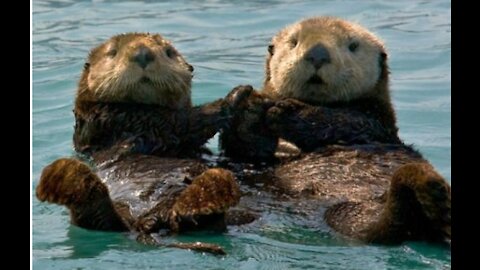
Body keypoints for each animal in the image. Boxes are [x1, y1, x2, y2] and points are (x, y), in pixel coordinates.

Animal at [36, 32, 248, 254]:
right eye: (113, 52)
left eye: (168, 52)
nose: (143, 54)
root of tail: (149, 223)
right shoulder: (124, 120)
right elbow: (185, 122)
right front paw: (238, 93)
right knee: (97, 220)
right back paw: (64, 178)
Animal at [220, 16, 450, 245]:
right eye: (293, 42)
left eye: (353, 46)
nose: (317, 54)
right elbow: (250, 148)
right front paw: (252, 107)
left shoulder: (373, 121)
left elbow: (342, 122)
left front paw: (287, 111)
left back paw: (429, 191)